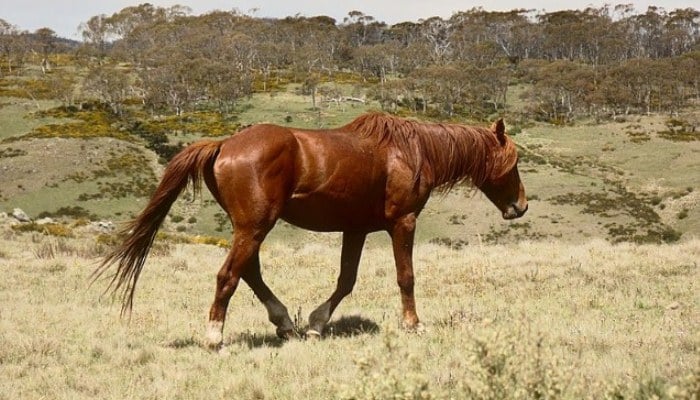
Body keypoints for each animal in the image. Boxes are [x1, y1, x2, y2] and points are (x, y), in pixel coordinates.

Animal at [91, 111, 524, 346]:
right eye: (514, 161)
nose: (520, 206)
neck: (410, 152)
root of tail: (224, 145)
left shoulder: (356, 230)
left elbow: (346, 280)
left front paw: (316, 323)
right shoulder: (403, 222)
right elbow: (406, 277)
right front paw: (413, 324)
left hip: (250, 227)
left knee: (248, 272)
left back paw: (285, 323)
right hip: (254, 226)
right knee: (229, 275)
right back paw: (215, 336)